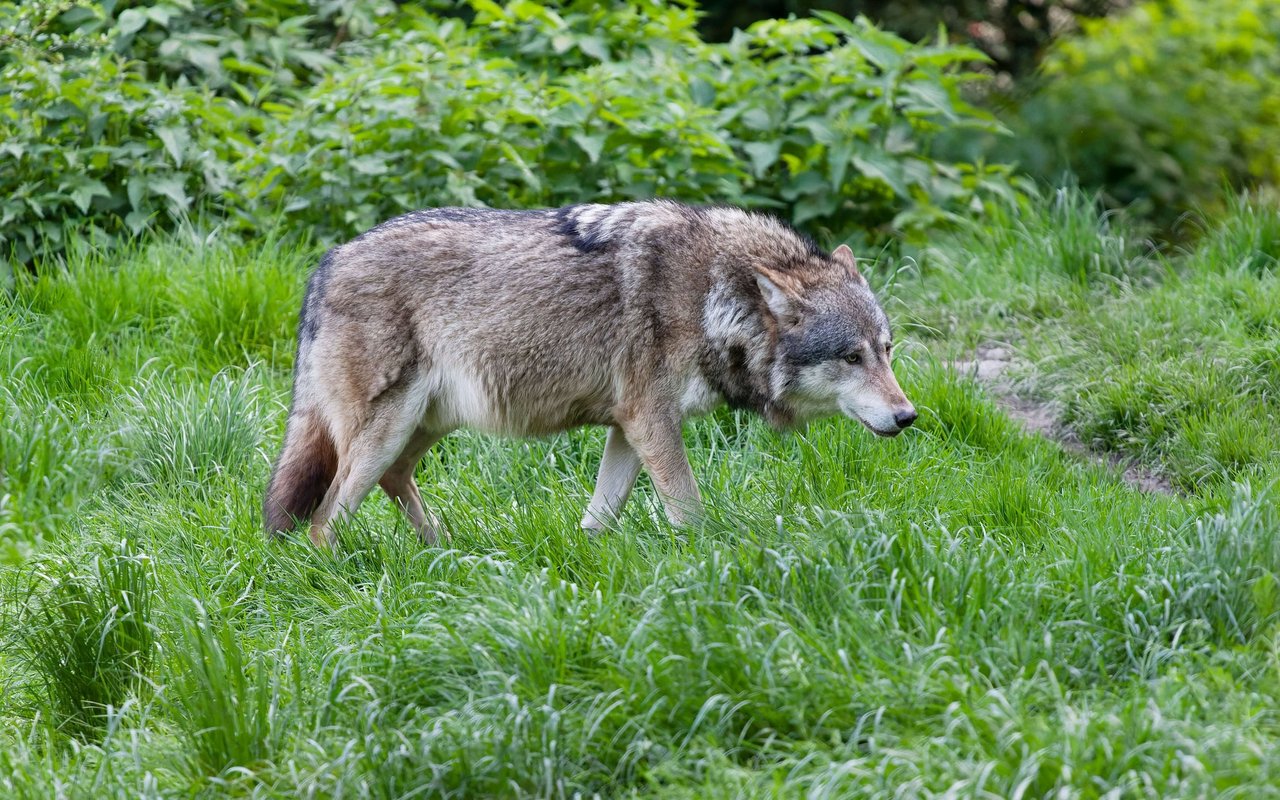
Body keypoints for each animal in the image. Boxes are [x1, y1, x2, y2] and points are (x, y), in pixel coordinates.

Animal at [264, 200, 917, 548]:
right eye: (852, 357)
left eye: (886, 351)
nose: (908, 416)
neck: (713, 296)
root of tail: (324, 265)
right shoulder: (652, 421)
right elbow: (689, 509)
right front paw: (708, 561)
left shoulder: (628, 427)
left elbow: (600, 517)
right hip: (385, 430)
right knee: (323, 521)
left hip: (425, 426)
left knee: (395, 480)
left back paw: (443, 549)